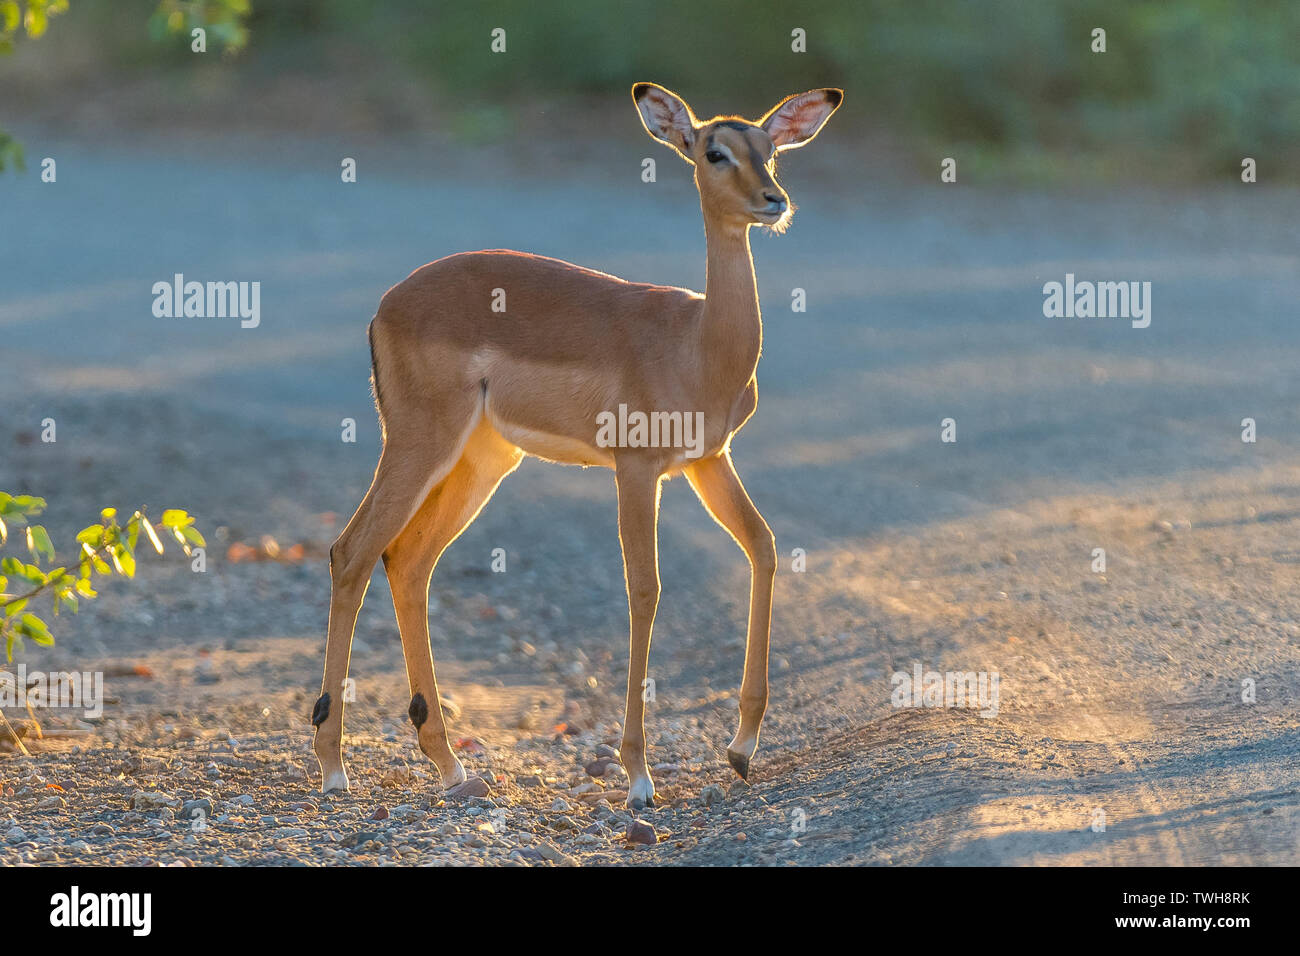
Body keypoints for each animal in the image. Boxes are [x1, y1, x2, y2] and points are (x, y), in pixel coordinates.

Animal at [311, 82, 843, 809]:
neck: (697, 342)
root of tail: (384, 307)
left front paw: (740, 749)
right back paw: (334, 766)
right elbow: (644, 588)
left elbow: (762, 547)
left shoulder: (709, 461)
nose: (774, 201)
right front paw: (639, 776)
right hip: (420, 443)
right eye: (714, 151)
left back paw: (450, 766)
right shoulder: (636, 469)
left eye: (772, 149)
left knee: (409, 559)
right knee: (353, 551)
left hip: (484, 460)